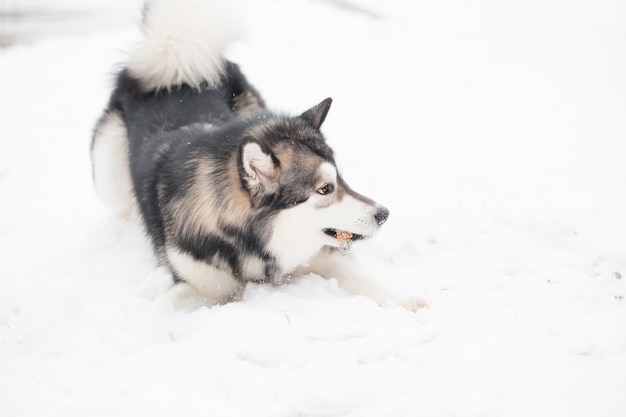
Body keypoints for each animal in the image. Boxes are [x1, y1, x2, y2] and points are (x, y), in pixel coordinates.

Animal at [89, 0, 420, 308]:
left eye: (342, 178)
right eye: (325, 189)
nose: (384, 214)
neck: (253, 244)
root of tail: (169, 70)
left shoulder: (319, 254)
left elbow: (363, 277)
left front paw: (409, 301)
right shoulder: (203, 285)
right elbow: (161, 306)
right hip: (107, 167)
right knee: (121, 205)